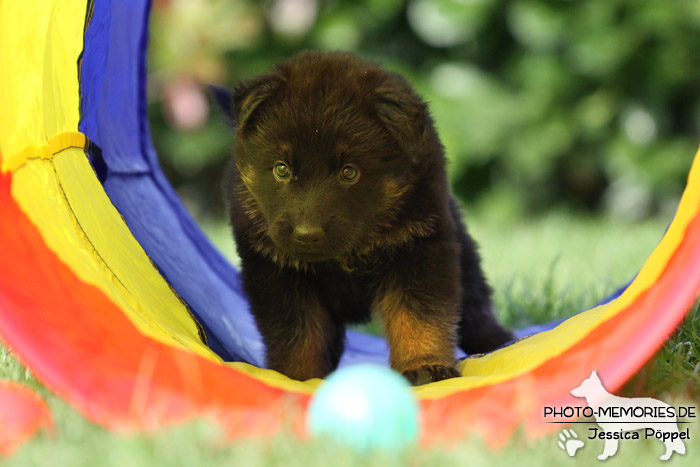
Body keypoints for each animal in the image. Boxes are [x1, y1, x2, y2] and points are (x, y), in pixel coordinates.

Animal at [221, 52, 512, 388]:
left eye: (349, 172)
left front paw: (425, 366)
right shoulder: (275, 271)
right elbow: (296, 334)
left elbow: (419, 315)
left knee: (477, 315)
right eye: (281, 169)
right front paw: (299, 379)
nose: (307, 234)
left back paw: (503, 343)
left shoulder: (419, 248)